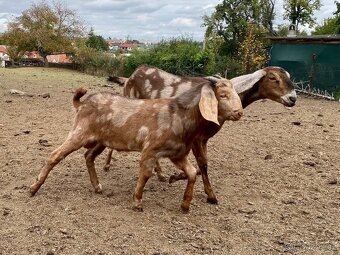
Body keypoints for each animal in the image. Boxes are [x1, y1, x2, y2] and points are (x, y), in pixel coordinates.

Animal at [28, 78, 242, 212]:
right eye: (222, 95)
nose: (239, 112)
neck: (179, 116)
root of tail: (81, 103)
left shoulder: (177, 153)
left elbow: (191, 172)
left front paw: (185, 205)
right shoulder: (150, 150)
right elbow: (146, 174)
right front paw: (137, 202)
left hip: (101, 140)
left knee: (88, 156)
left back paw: (97, 187)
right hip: (79, 133)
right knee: (55, 154)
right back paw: (33, 188)